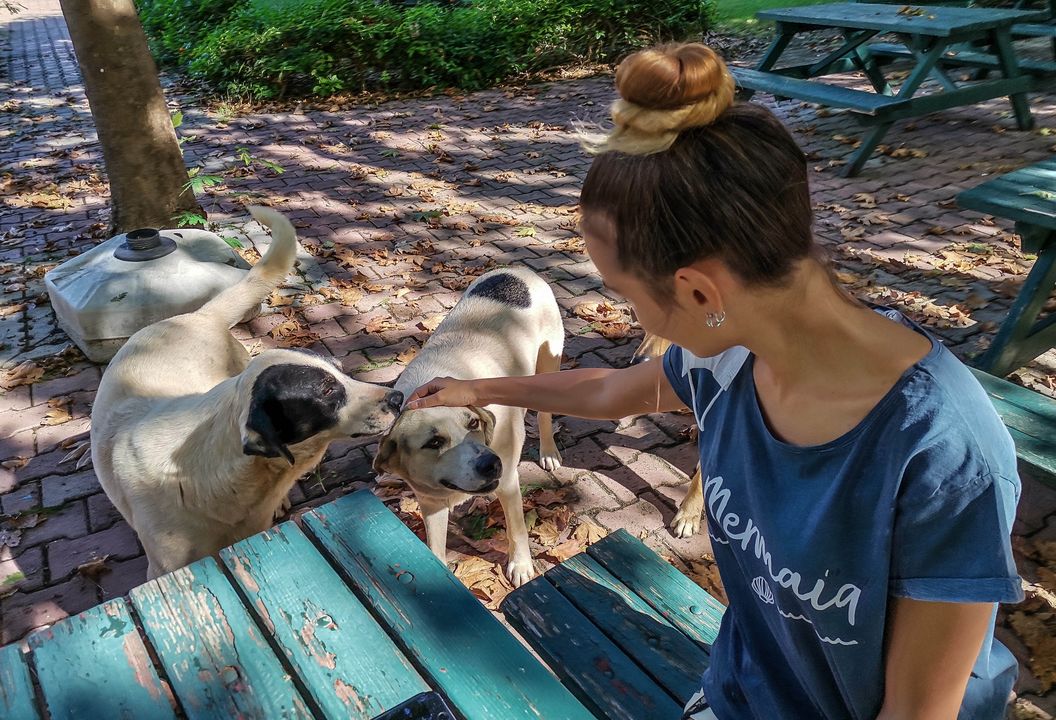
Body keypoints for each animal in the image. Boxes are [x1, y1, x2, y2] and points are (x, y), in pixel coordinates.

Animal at [373, 266, 566, 586]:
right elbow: (435, 549)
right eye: (434, 442)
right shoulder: (430, 502)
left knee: (544, 415)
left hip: (548, 365)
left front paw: (521, 565)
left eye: (472, 422)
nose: (491, 464)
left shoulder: (508, 482)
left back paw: (549, 452)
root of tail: (517, 269)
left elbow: (517, 529)